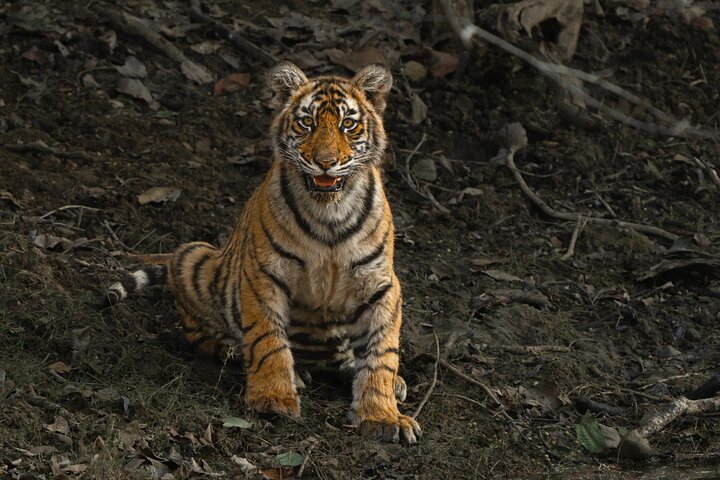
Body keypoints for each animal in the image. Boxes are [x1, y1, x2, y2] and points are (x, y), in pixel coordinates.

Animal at [105, 62, 421, 444]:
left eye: (348, 124)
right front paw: (274, 398)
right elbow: (268, 339)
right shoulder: (264, 274)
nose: (326, 162)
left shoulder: (381, 286)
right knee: (202, 331)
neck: (329, 212)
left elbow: (381, 354)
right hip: (193, 256)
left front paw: (382, 415)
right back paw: (241, 353)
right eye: (307, 123)